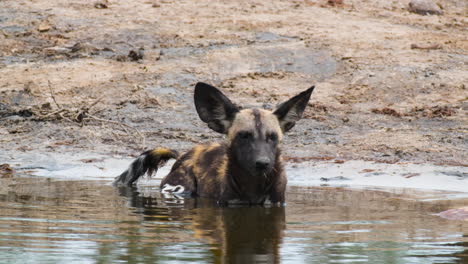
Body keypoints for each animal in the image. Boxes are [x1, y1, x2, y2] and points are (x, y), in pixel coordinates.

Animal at [115, 82, 316, 204]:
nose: (262, 163)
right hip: (179, 188)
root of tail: (182, 155)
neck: (254, 185)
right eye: (244, 136)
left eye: (272, 137)